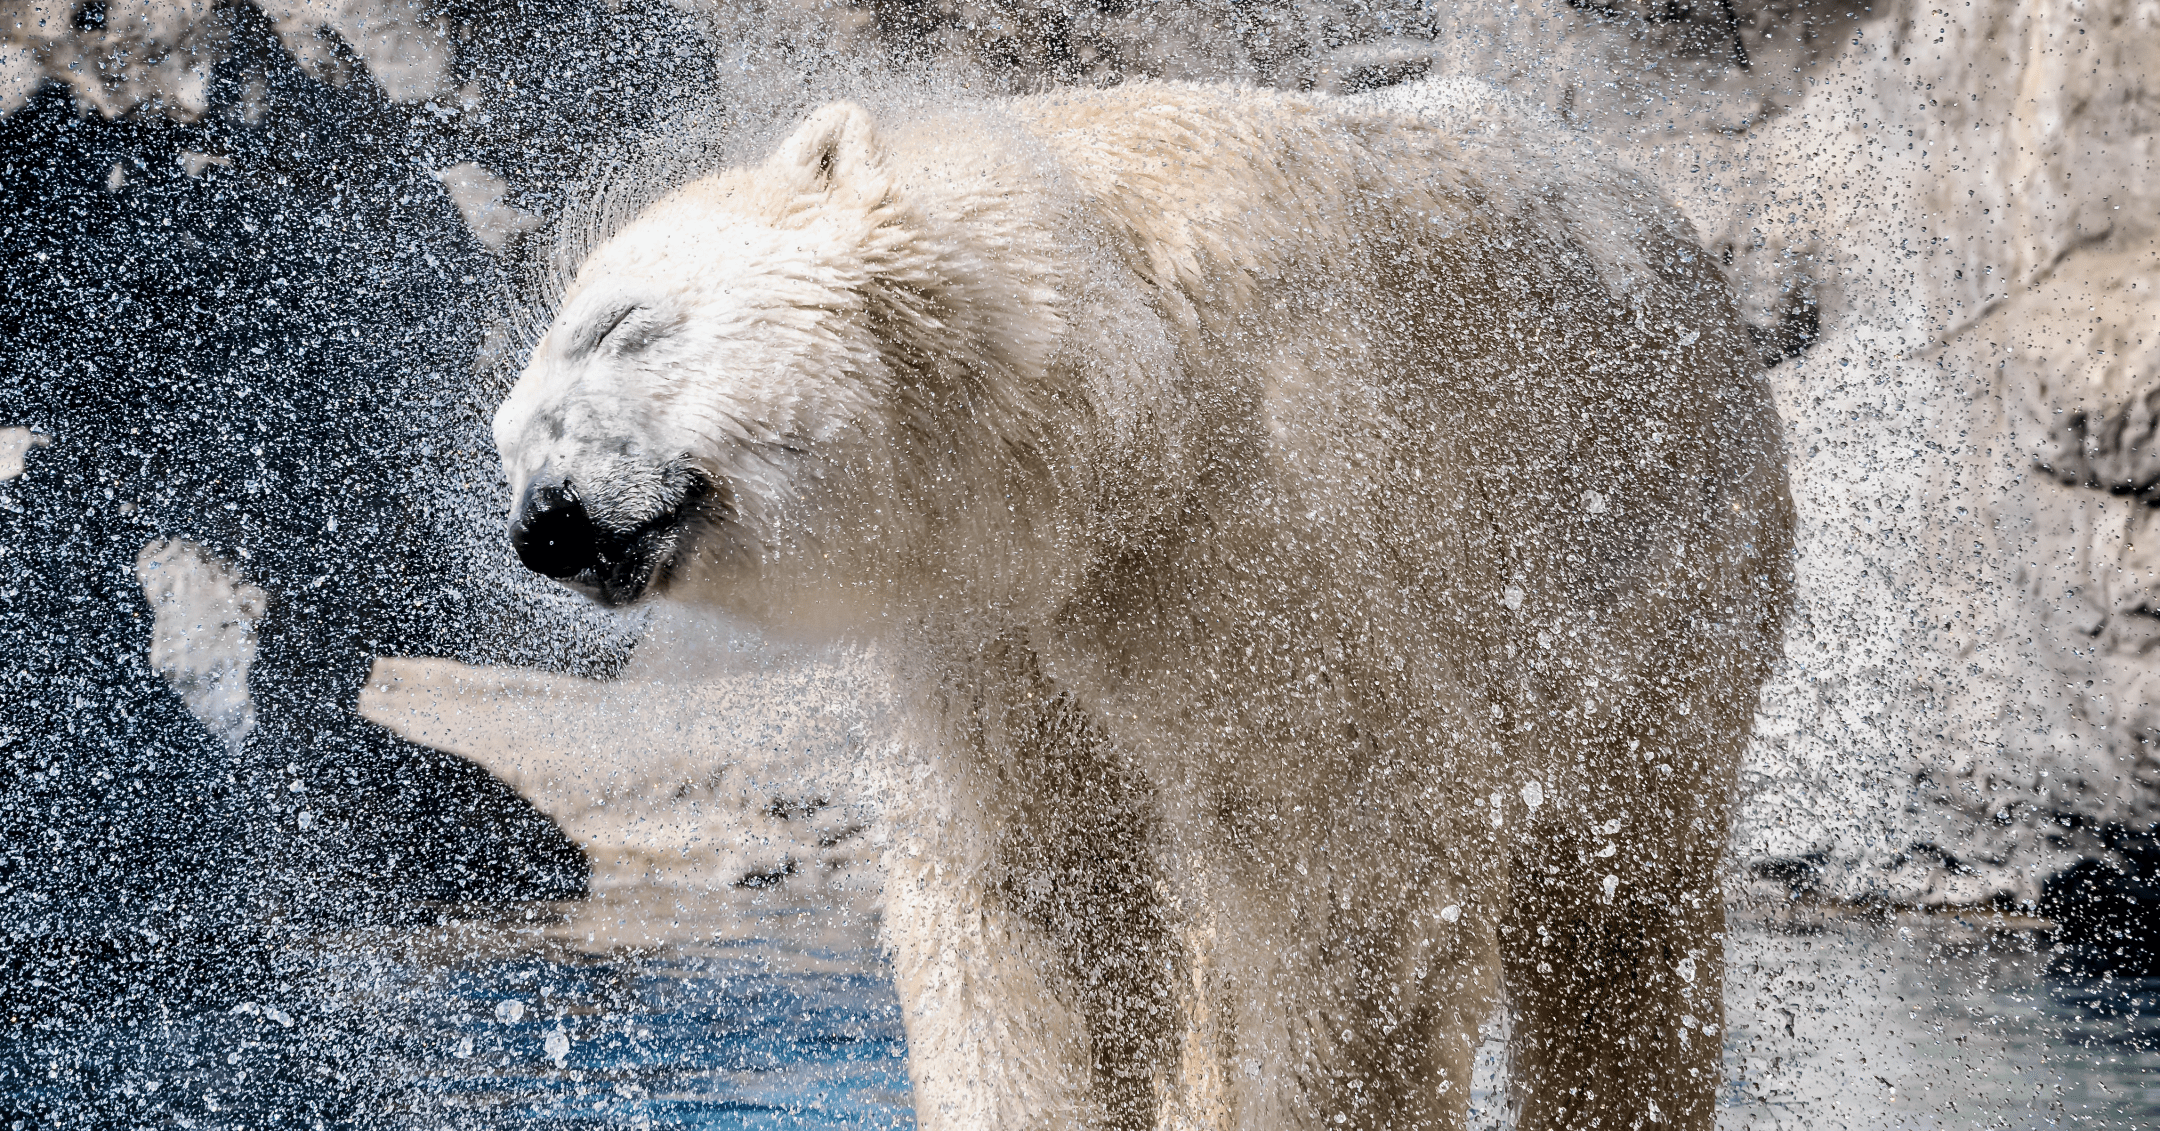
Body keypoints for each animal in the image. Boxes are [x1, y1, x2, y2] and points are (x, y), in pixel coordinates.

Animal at [491, 80, 1794, 1131]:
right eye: (504, 441)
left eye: (623, 325)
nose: (541, 523)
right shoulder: (1000, 626)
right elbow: (1045, 894)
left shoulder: (1255, 522)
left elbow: (1354, 860)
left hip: (1650, 571)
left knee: (1618, 913)